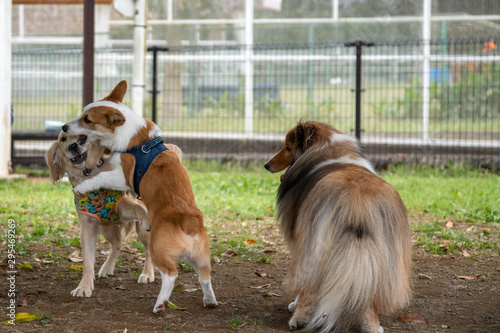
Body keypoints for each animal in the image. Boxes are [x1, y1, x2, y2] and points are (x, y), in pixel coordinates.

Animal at [45, 130, 154, 296]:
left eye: (82, 137)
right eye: (63, 139)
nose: (73, 146)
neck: (89, 174)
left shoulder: (124, 206)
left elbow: (138, 208)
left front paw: (146, 218)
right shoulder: (87, 226)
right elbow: (88, 261)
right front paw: (84, 287)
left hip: (141, 232)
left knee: (148, 250)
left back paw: (147, 273)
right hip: (106, 229)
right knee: (117, 245)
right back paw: (107, 267)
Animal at [60, 80, 217, 312]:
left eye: (87, 119)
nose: (64, 127)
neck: (136, 140)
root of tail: (189, 222)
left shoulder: (121, 176)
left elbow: (101, 176)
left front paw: (83, 186)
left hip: (159, 250)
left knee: (171, 274)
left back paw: (160, 304)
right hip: (201, 259)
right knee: (205, 278)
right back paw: (210, 301)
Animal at [264, 121, 412, 332]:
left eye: (288, 147)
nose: (267, 165)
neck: (326, 151)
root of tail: (357, 202)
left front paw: (294, 304)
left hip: (314, 243)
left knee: (309, 285)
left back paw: (297, 320)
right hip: (384, 253)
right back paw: (372, 326)